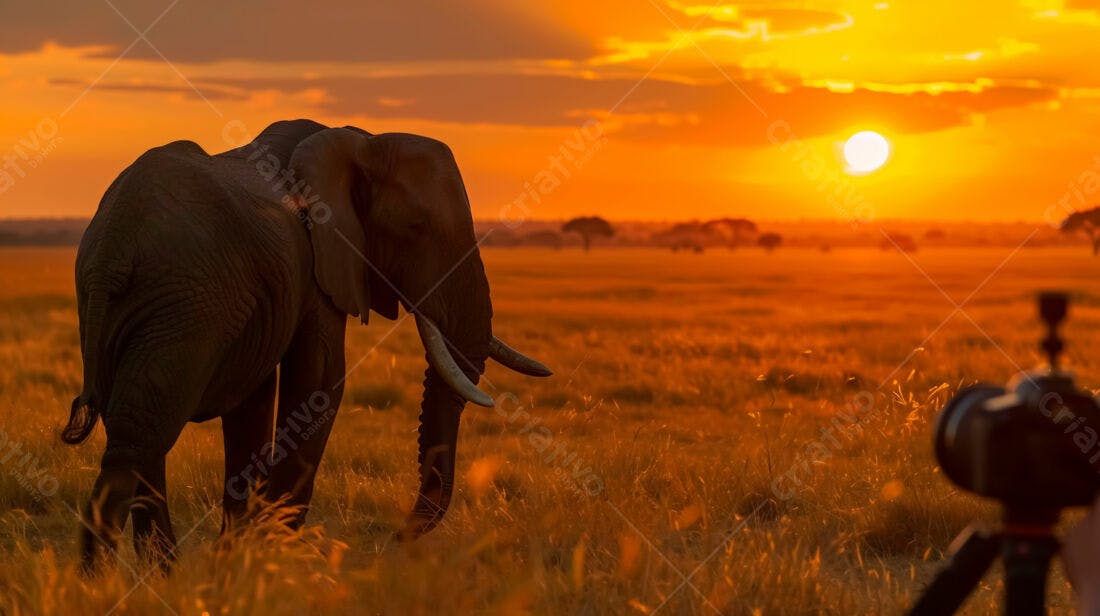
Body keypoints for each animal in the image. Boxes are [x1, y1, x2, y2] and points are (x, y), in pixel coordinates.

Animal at [63, 119, 551, 573]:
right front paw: (273, 559)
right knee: (141, 435)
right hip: (182, 307)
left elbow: (255, 401)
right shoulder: (317, 263)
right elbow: (319, 382)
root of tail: (112, 250)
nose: (398, 537)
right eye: (414, 228)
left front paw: (239, 561)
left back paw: (155, 577)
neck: (359, 140)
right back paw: (112, 583)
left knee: (140, 433)